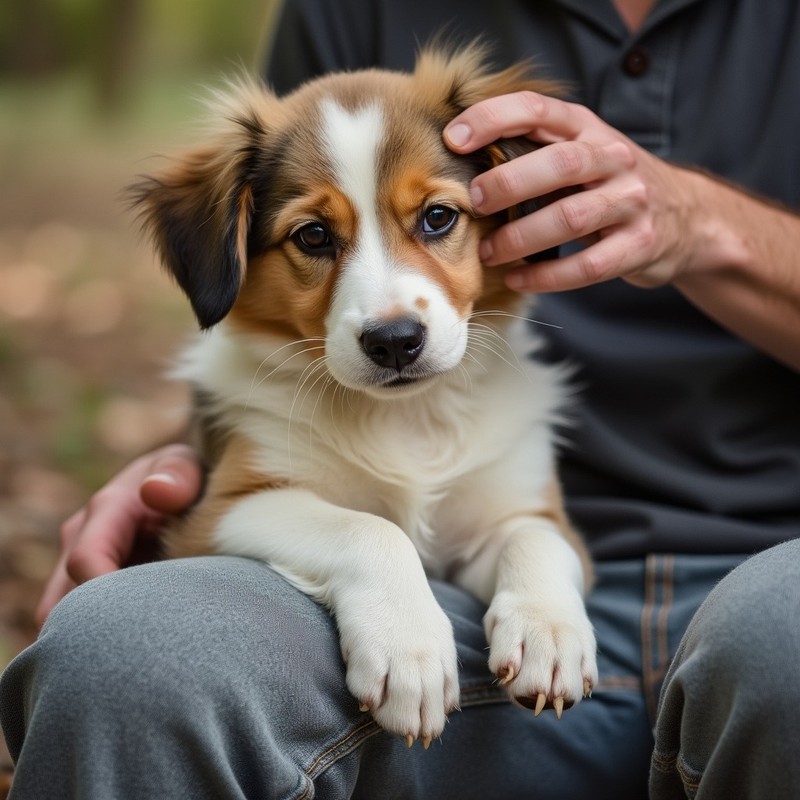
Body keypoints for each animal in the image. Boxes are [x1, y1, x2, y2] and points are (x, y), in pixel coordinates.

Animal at [128, 42, 596, 744]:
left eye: (438, 217)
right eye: (313, 235)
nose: (396, 341)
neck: (405, 417)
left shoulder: (521, 513)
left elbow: (535, 539)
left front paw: (550, 632)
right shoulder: (217, 511)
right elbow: (370, 528)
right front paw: (409, 650)